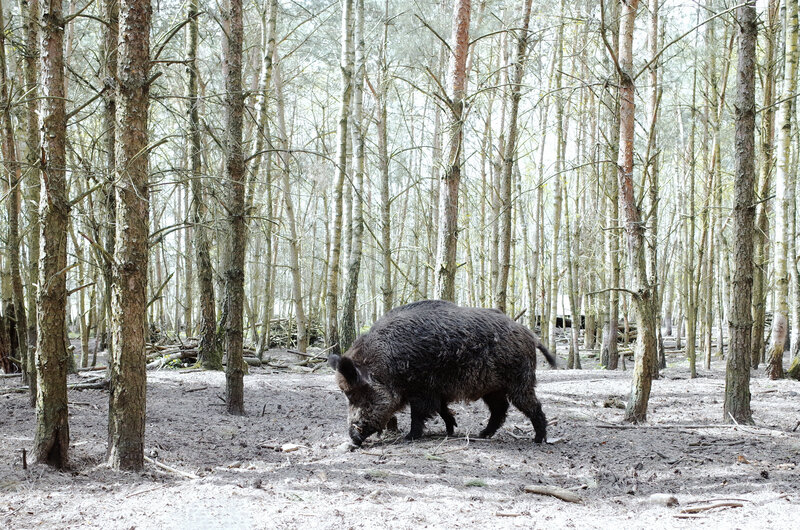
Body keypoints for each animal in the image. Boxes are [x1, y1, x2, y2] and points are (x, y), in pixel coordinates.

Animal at [328, 300, 557, 446]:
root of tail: (529, 334)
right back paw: (482, 434)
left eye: (358, 394)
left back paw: (539, 440)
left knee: (533, 407)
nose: (353, 439)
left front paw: (410, 437)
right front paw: (450, 429)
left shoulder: (421, 390)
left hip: (519, 382)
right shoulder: (435, 391)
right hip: (493, 389)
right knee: (499, 410)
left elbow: (419, 414)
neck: (384, 366)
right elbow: (442, 409)